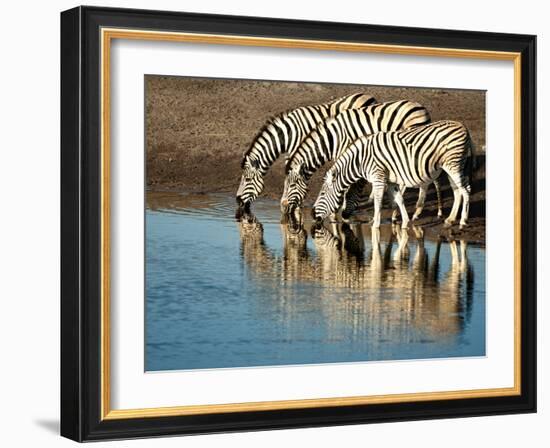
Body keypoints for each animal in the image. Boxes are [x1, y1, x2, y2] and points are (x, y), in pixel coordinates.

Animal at [235, 91, 378, 215]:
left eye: (247, 180)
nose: (237, 201)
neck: (288, 134)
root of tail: (367, 95)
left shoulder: (296, 149)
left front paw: (296, 204)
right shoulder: (291, 154)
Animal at [282, 100, 446, 222]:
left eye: (291, 185)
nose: (284, 208)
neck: (332, 139)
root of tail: (421, 107)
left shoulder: (347, 151)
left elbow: (344, 184)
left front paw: (338, 209)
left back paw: (420, 211)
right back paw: (427, 210)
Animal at [312, 121, 476, 229]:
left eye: (322, 194)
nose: (312, 215)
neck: (360, 160)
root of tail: (464, 127)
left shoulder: (378, 177)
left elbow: (378, 201)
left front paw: (375, 223)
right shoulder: (390, 180)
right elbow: (399, 199)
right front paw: (405, 222)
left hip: (453, 164)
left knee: (466, 190)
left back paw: (463, 221)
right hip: (451, 167)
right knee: (457, 191)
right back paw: (450, 220)